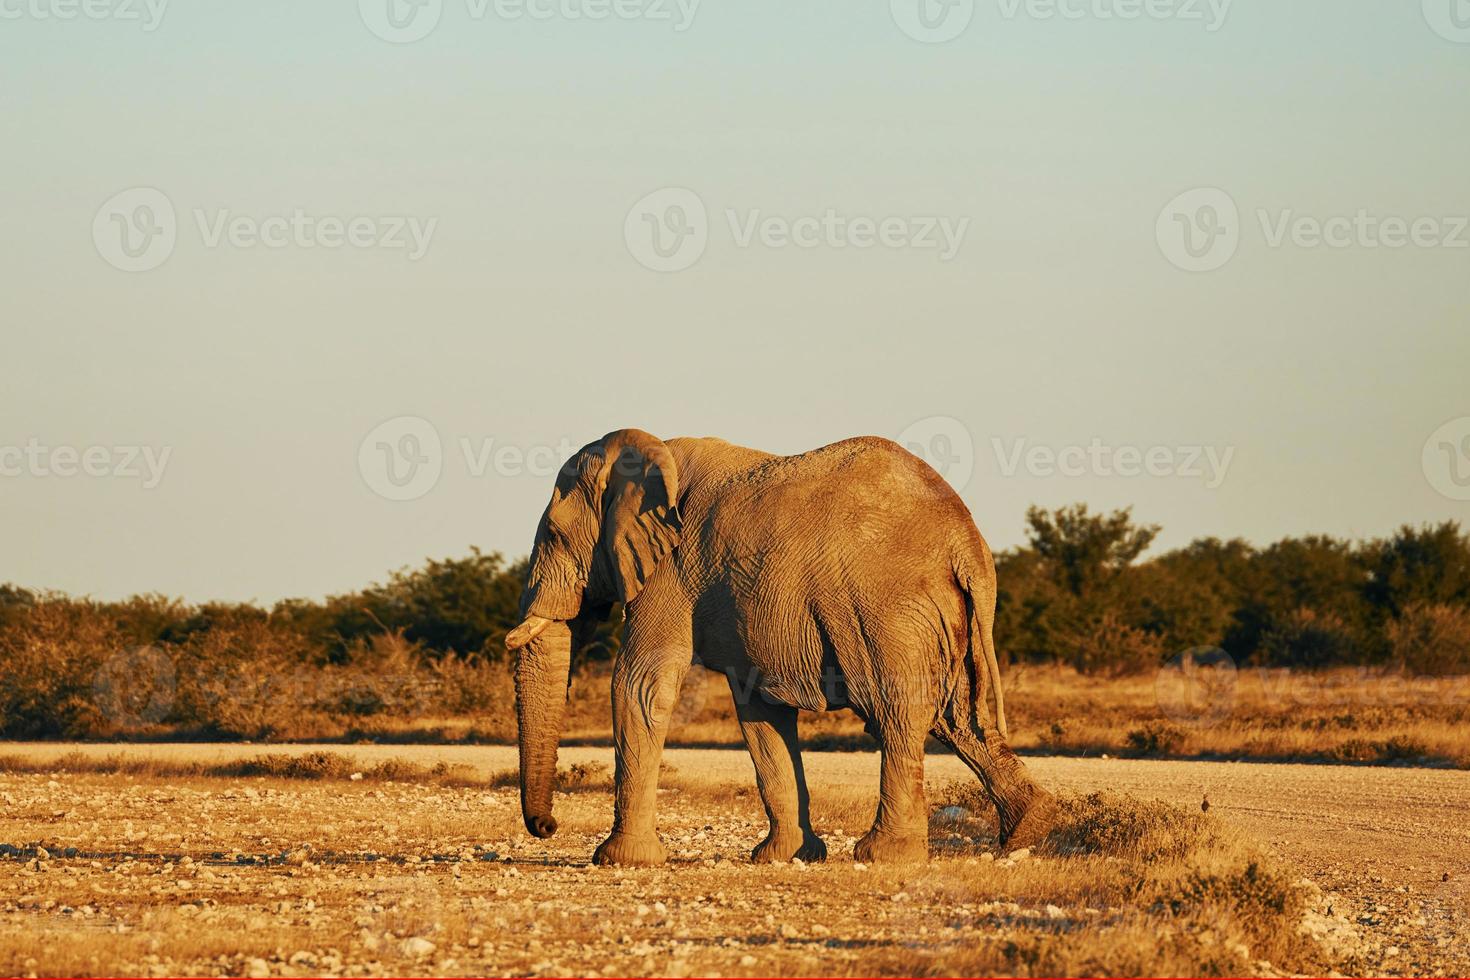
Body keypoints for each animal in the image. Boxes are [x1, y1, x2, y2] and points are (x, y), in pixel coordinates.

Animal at [508, 429, 1058, 863]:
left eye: (553, 534)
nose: (547, 827)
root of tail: (966, 542)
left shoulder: (669, 570)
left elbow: (640, 684)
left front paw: (619, 860)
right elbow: (760, 712)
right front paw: (784, 857)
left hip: (888, 612)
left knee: (897, 713)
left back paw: (883, 855)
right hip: (946, 615)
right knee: (960, 718)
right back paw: (1025, 835)